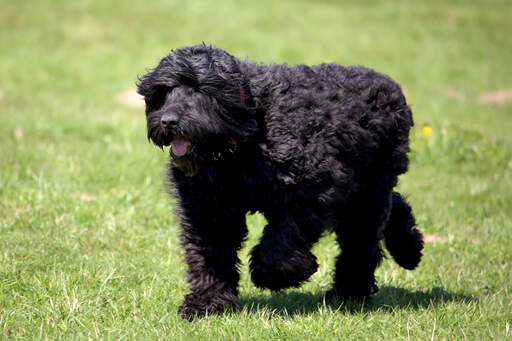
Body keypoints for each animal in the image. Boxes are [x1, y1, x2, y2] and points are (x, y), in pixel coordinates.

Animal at [137, 44, 424, 318]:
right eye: (163, 91)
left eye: (200, 89)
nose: (168, 120)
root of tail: (389, 85)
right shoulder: (209, 210)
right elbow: (210, 257)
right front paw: (207, 304)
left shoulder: (315, 190)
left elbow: (282, 242)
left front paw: (277, 273)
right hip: (365, 190)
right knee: (392, 208)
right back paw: (407, 249)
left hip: (367, 194)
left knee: (361, 244)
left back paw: (351, 290)